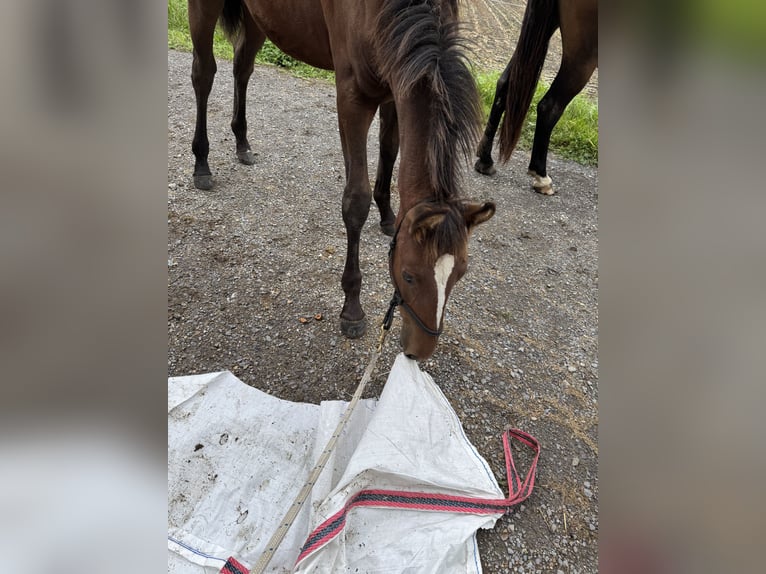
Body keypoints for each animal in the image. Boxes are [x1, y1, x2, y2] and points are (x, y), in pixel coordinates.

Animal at [187, 0, 496, 361]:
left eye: (460, 273)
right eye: (409, 275)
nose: (419, 350)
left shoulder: (397, 83)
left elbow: (389, 152)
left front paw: (387, 215)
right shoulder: (353, 98)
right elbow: (356, 201)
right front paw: (352, 307)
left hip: (256, 21)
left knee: (242, 67)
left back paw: (242, 143)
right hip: (204, 10)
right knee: (204, 73)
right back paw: (202, 163)